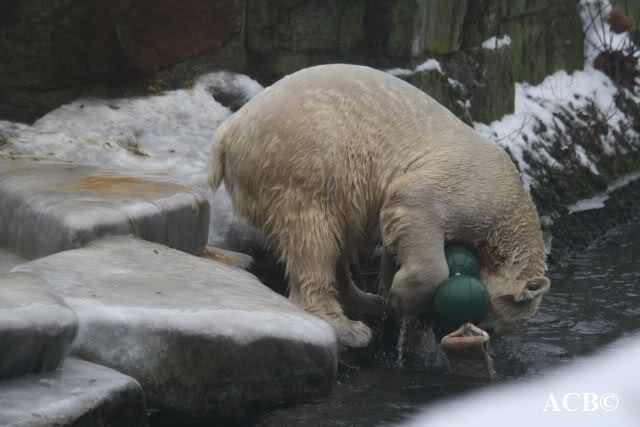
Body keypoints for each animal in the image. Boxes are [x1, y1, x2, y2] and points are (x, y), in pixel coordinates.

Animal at [209, 64, 550, 348]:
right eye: (494, 322)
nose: (484, 332)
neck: (510, 211)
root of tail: (229, 130)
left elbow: (393, 239)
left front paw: (388, 288)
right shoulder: (468, 188)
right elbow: (417, 206)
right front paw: (401, 297)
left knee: (336, 237)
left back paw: (365, 301)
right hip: (300, 164)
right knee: (313, 238)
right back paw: (348, 328)